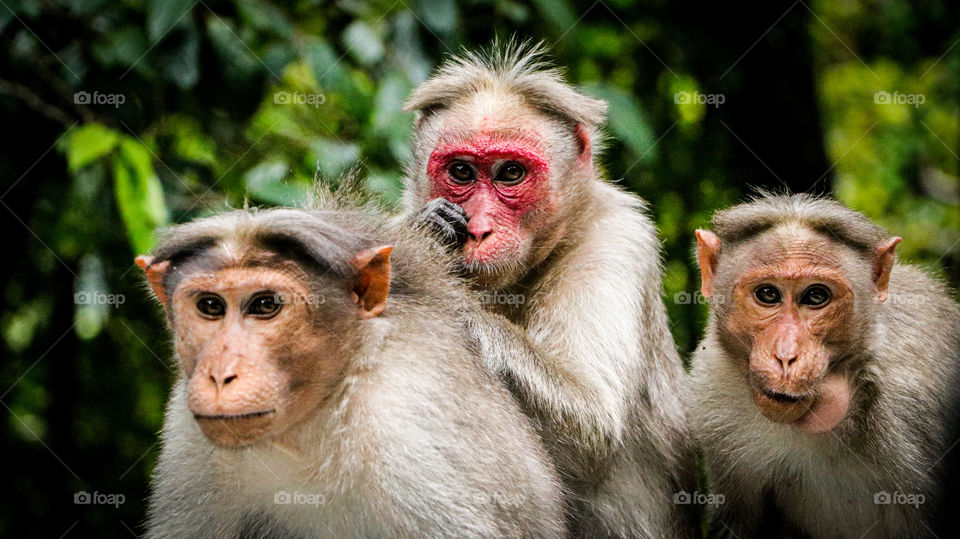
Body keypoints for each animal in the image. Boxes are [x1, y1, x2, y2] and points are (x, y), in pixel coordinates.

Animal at [137, 205, 567, 538]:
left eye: (265, 305)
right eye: (210, 306)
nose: (220, 375)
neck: (309, 426)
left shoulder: (413, 431)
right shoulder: (188, 434)